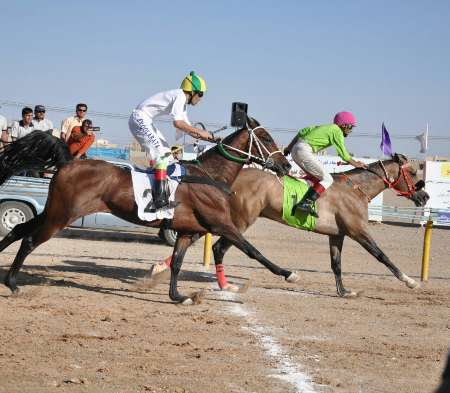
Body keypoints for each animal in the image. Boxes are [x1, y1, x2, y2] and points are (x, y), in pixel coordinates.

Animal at [0, 118, 296, 304]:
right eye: (266, 137)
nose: (286, 165)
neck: (210, 176)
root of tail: (69, 162)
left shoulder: (188, 231)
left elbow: (176, 263)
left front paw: (179, 297)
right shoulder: (221, 224)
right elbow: (252, 250)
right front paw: (287, 273)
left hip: (52, 211)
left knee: (18, 229)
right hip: (60, 216)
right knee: (29, 240)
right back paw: (13, 283)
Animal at [153, 155, 430, 296]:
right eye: (413, 172)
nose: (425, 196)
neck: (355, 188)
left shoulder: (337, 235)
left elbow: (336, 264)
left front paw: (343, 291)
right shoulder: (357, 231)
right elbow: (382, 256)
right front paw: (410, 281)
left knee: (199, 240)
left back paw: (160, 269)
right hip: (239, 221)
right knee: (218, 248)